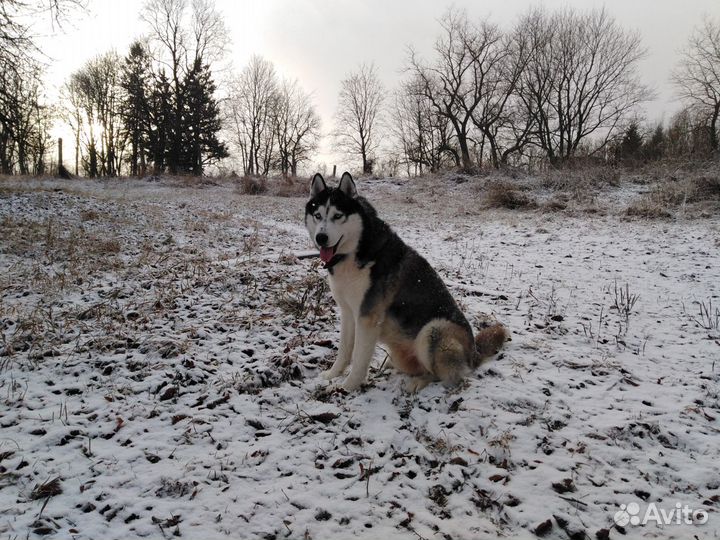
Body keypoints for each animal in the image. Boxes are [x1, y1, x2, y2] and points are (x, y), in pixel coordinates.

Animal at [305, 172, 508, 392]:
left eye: (337, 216)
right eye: (317, 215)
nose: (321, 237)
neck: (355, 251)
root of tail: (474, 354)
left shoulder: (367, 318)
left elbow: (359, 359)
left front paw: (347, 387)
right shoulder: (348, 313)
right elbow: (344, 351)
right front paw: (332, 375)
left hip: (433, 330)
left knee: (447, 376)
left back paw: (418, 383)